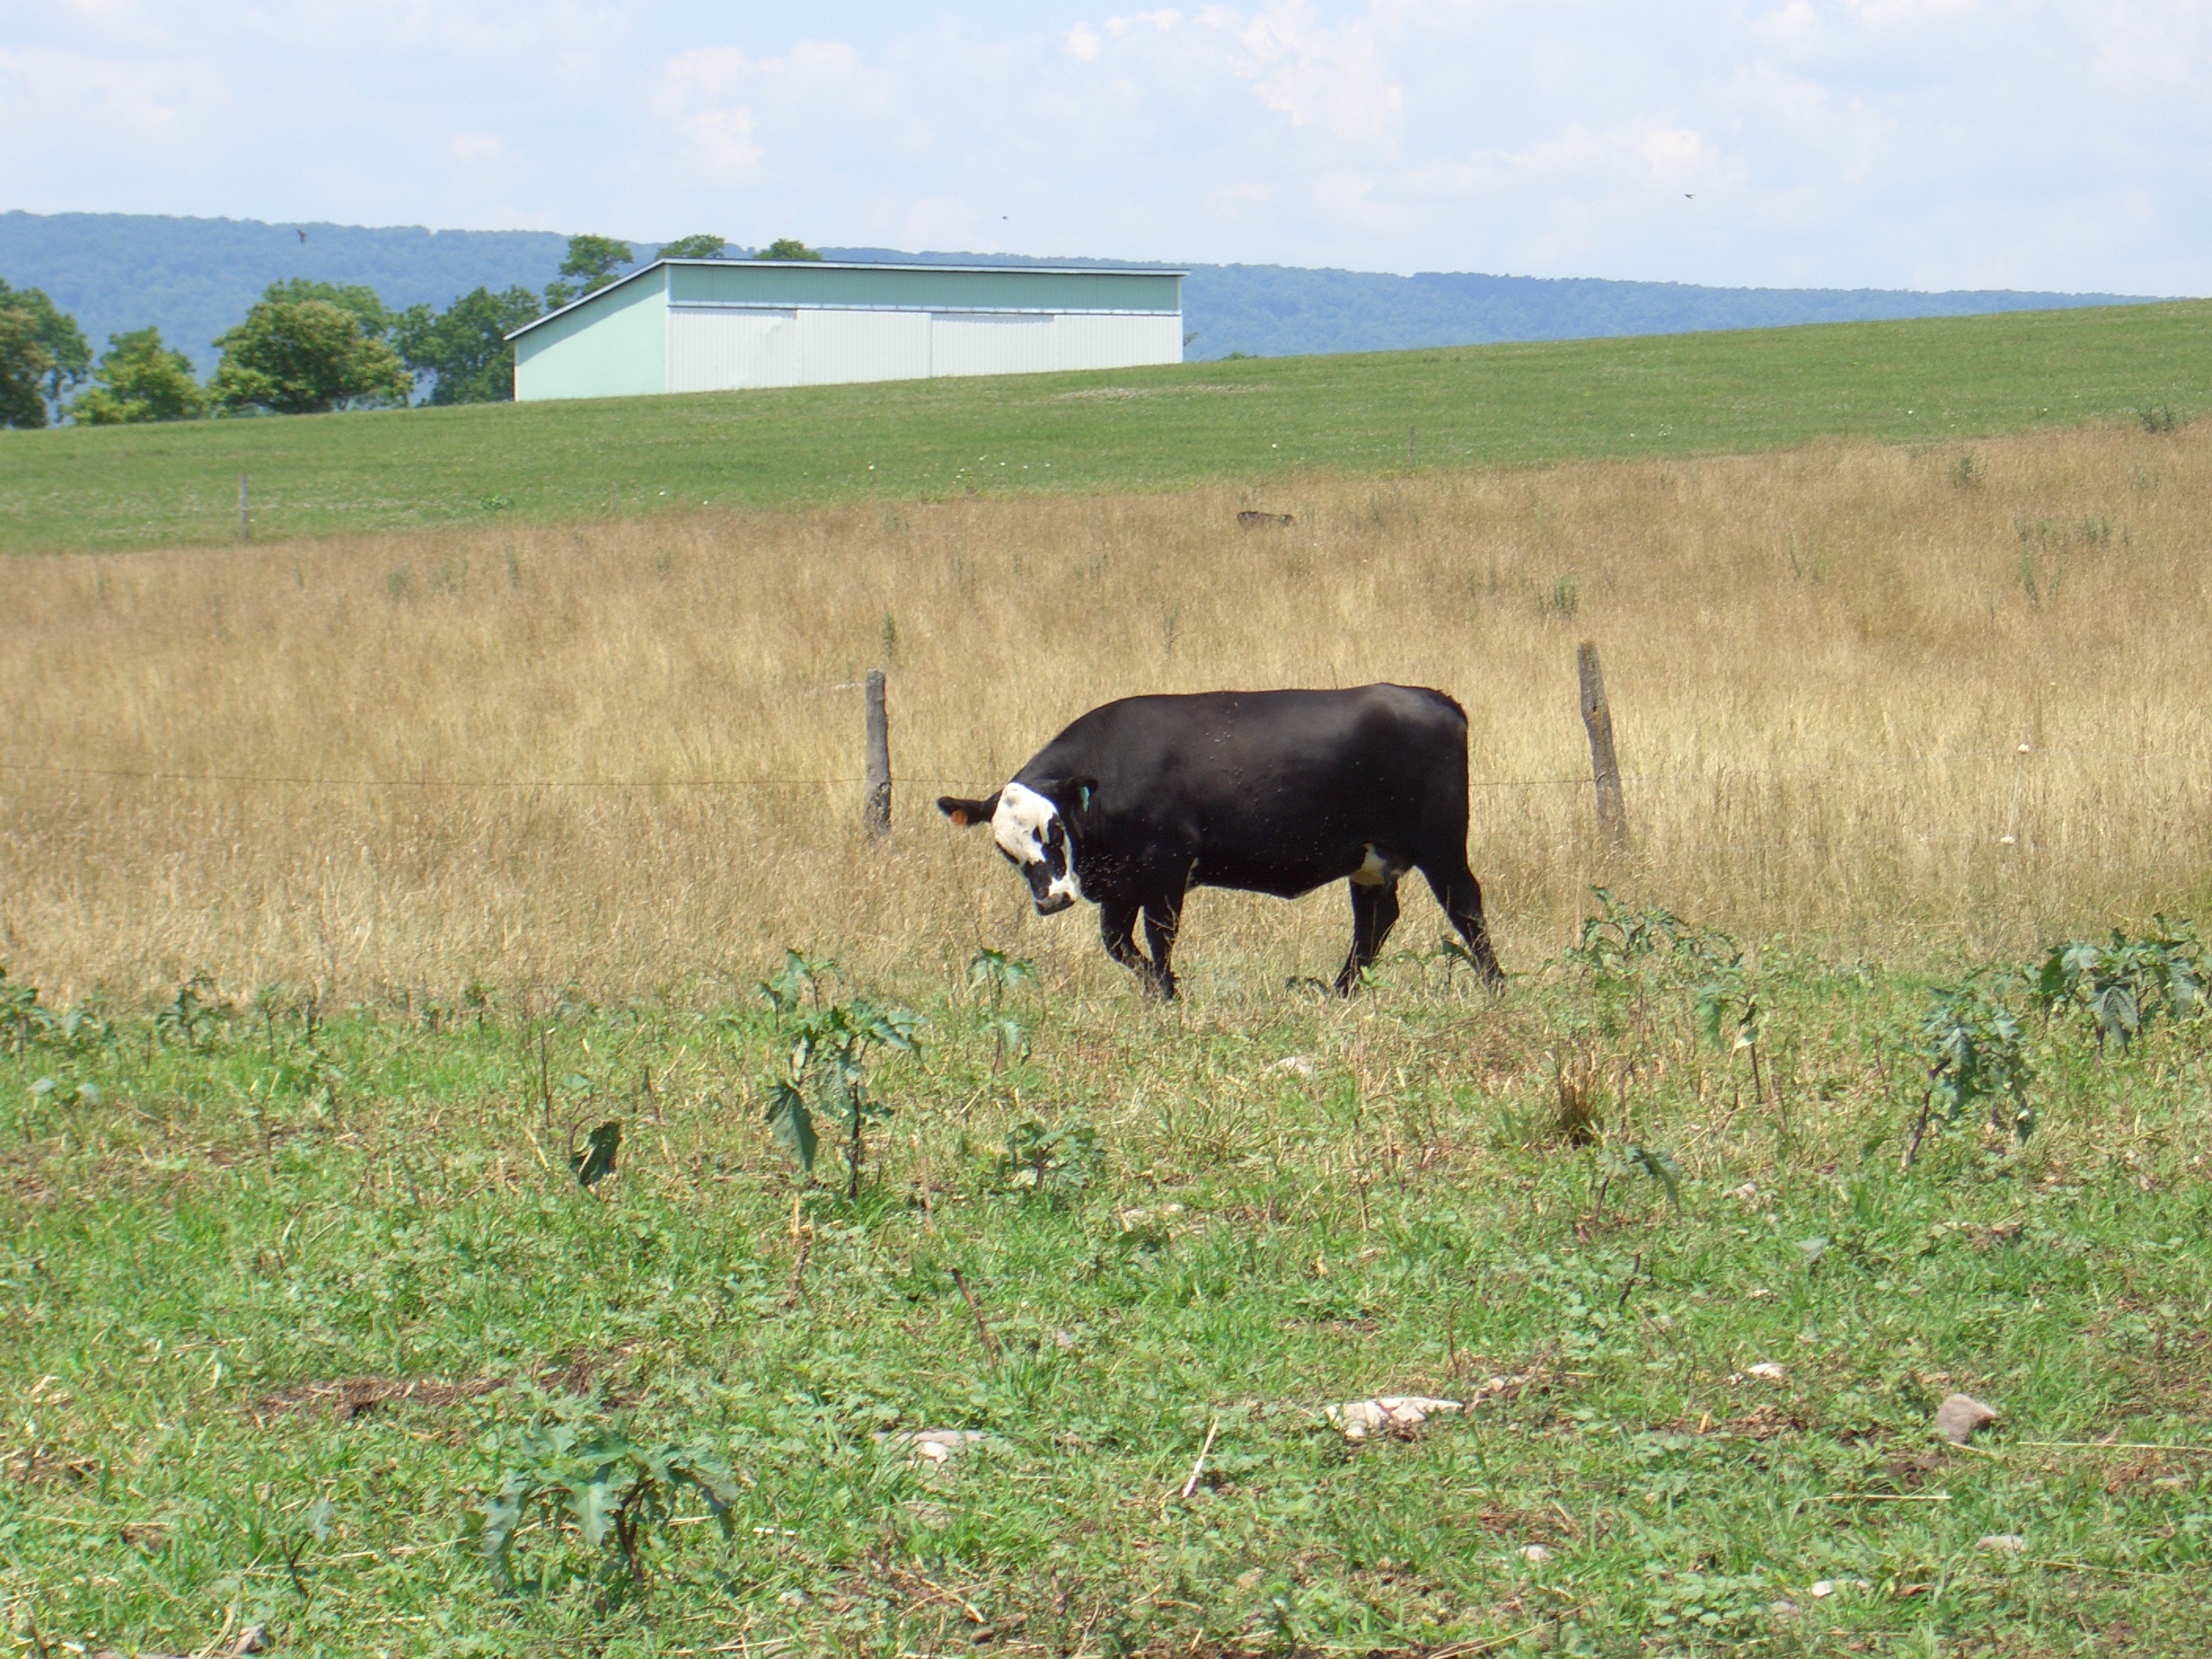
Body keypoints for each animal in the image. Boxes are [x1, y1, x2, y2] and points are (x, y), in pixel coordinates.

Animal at [937, 684, 1504, 999]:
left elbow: (1160, 940)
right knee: (1375, 922)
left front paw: (1168, 994)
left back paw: (1496, 985)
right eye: (1004, 848)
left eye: (1053, 830)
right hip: (1370, 861)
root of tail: (1435, 699)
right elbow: (1119, 946)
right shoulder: (1122, 886)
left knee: (1465, 907)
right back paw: (1342, 992)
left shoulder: (1165, 872)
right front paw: (1157, 990)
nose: (1052, 899)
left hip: (1442, 846)